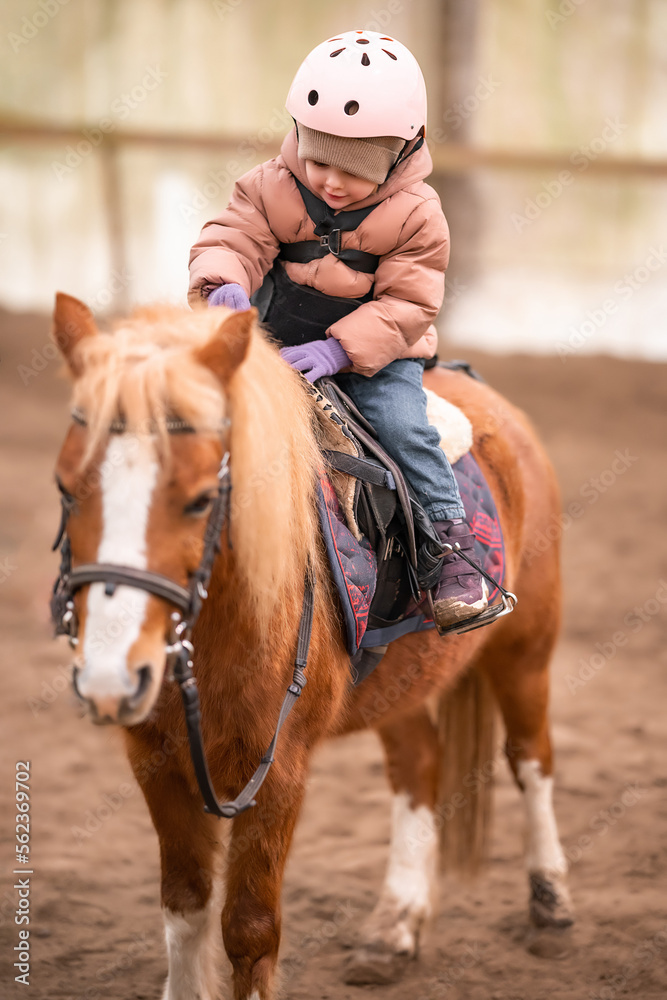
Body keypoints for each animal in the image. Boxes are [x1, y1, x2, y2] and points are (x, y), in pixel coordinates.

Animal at [51, 292, 576, 1000]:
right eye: (65, 487)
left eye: (202, 499)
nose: (110, 678)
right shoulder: (155, 761)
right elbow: (184, 909)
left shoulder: (280, 770)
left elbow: (249, 929)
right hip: (404, 683)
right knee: (420, 766)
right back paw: (394, 929)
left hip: (525, 649)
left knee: (531, 760)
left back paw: (551, 907)